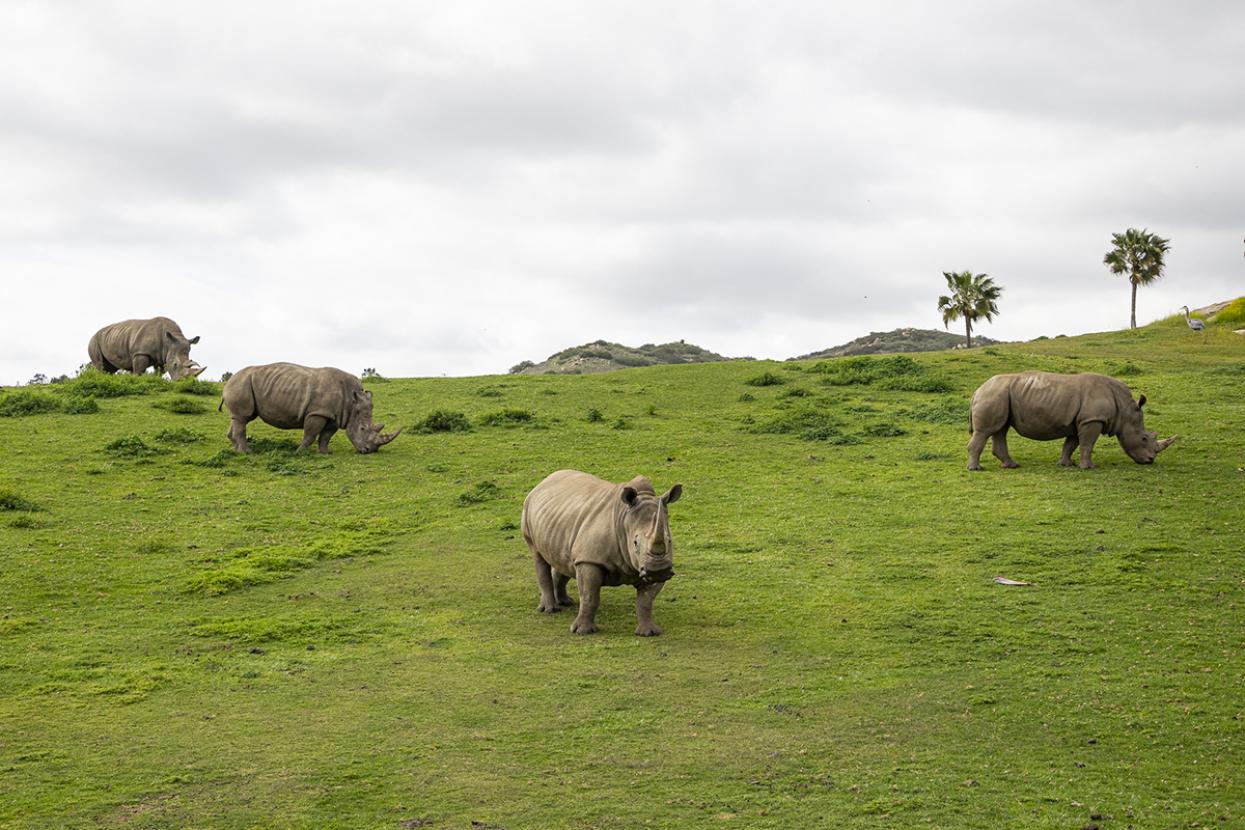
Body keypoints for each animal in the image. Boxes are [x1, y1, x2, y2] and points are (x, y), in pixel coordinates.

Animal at [220, 363, 401, 454]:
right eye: (362, 429)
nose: (369, 450)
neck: (352, 403)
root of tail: (229, 381)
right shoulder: (318, 412)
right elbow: (310, 435)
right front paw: (299, 453)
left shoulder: (334, 415)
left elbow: (325, 436)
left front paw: (325, 453)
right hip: (241, 383)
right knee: (243, 418)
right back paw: (247, 452)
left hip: (243, 383)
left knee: (239, 418)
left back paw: (236, 450)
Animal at [522, 470, 683, 636]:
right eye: (635, 543)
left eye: (669, 541)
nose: (659, 570)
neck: (624, 521)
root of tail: (543, 482)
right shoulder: (589, 559)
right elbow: (590, 596)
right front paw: (582, 631)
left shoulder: (647, 566)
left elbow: (646, 600)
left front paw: (648, 632)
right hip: (528, 511)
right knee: (538, 556)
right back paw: (550, 610)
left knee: (564, 560)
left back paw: (565, 602)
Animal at [968, 371, 1176, 470]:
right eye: (1143, 438)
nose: (1150, 460)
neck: (1124, 410)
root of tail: (977, 390)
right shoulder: (1092, 420)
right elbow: (1087, 444)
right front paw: (1089, 467)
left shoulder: (1081, 421)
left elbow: (1071, 444)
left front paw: (1066, 464)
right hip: (993, 394)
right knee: (986, 431)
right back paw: (976, 469)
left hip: (999, 394)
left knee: (1000, 429)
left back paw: (1011, 465)